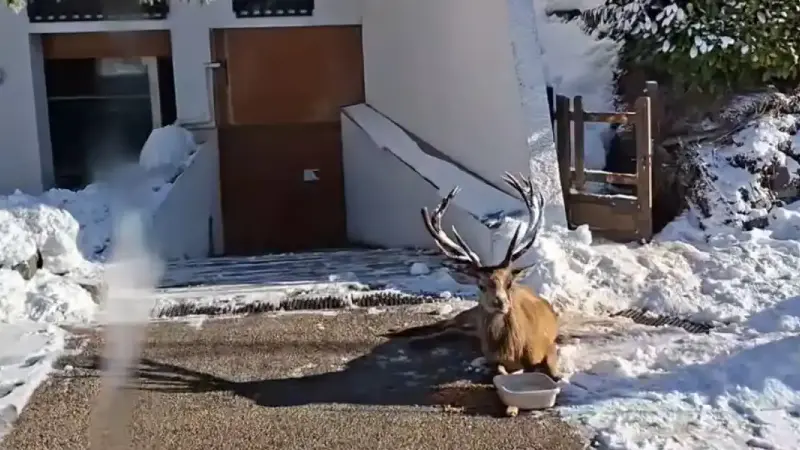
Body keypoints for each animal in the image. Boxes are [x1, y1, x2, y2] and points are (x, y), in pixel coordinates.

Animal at [420, 172, 559, 417]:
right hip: (470, 316)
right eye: (481, 285)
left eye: (509, 282)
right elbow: (500, 372)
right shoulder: (493, 356)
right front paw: (511, 406)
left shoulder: (547, 343)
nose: (500, 303)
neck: (513, 348)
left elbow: (553, 372)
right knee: (445, 324)